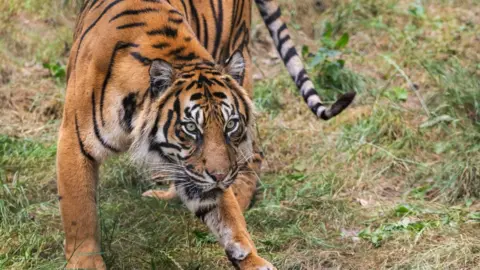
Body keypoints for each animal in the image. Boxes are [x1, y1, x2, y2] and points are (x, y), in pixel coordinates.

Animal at [57, 0, 356, 270]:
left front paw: (250, 256)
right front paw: (85, 262)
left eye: (230, 124)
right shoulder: (74, 141)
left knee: (255, 155)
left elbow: (226, 214)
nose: (220, 177)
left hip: (239, 53)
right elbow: (80, 213)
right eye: (191, 128)